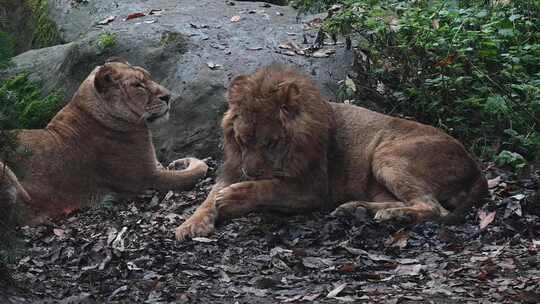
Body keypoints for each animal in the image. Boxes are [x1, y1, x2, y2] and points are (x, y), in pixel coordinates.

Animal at [1, 58, 209, 222]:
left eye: (149, 77)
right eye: (138, 86)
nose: (168, 97)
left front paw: (178, 162)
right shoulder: (148, 177)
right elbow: (198, 170)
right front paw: (190, 162)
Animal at [175, 64, 488, 240]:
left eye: (271, 143)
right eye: (241, 141)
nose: (249, 171)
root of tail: (476, 168)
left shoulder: (313, 188)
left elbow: (267, 187)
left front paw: (234, 197)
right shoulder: (232, 168)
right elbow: (208, 198)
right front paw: (191, 225)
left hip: (387, 155)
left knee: (433, 207)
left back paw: (393, 216)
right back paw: (357, 209)